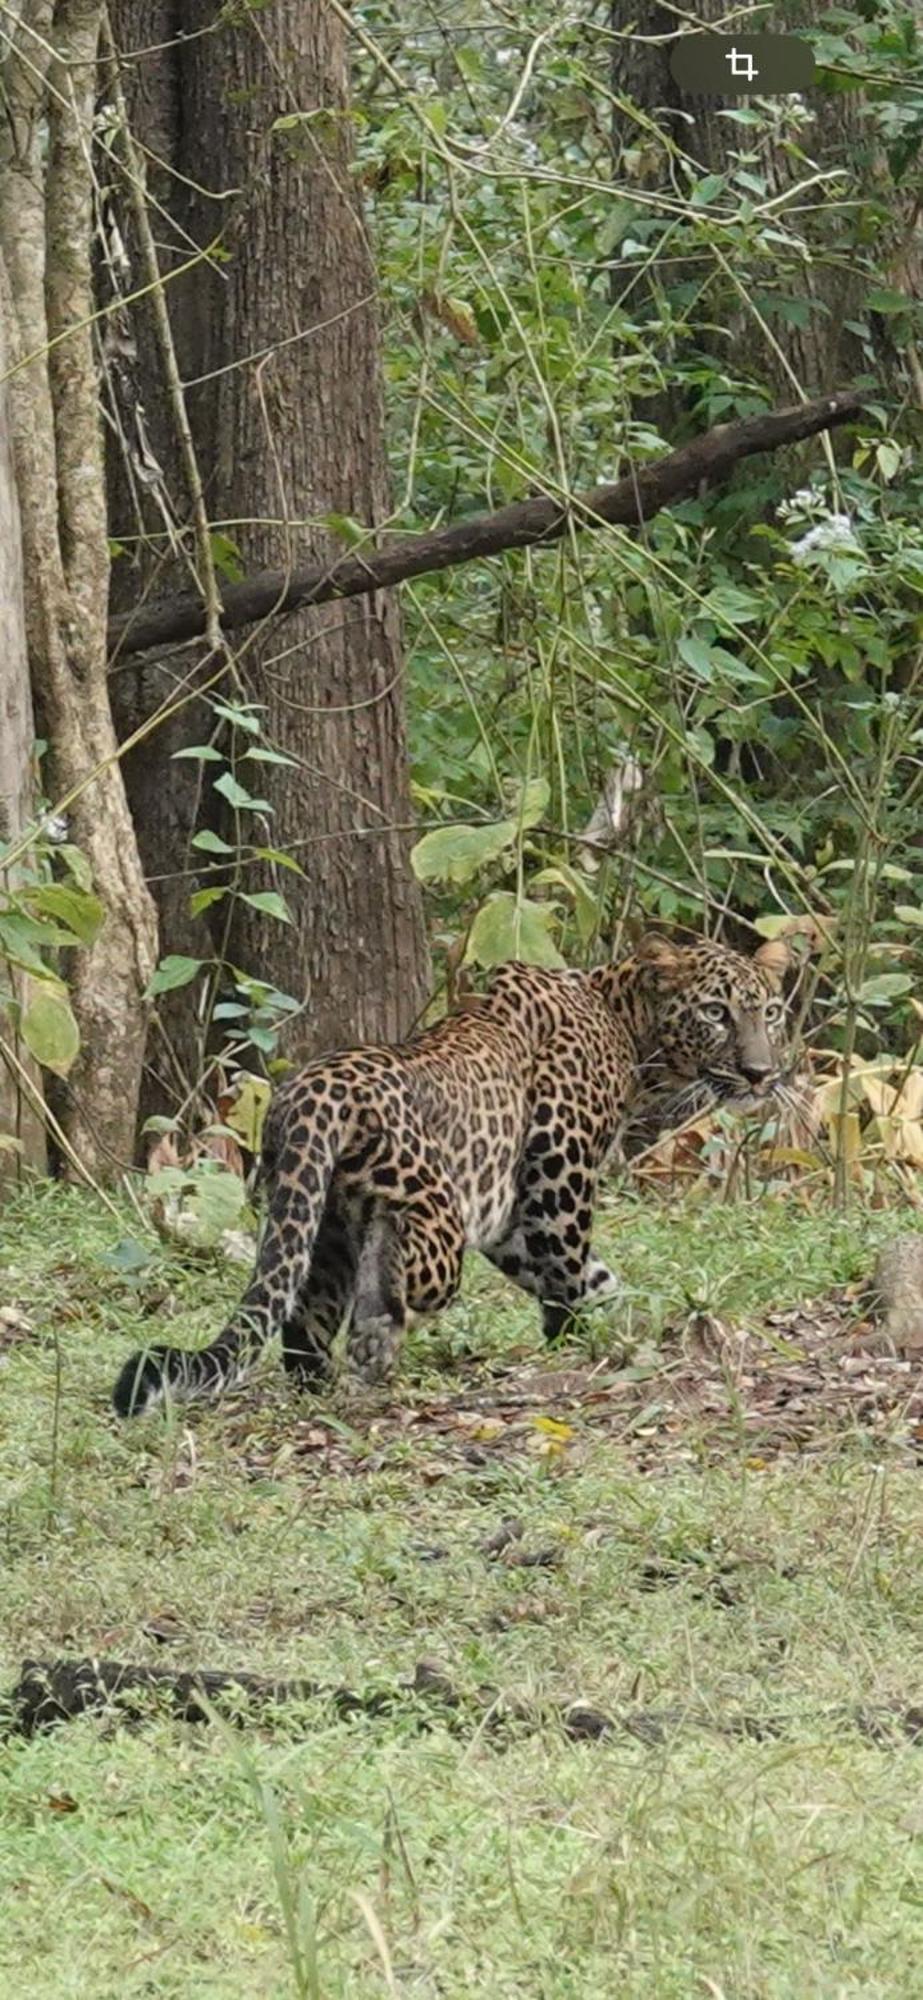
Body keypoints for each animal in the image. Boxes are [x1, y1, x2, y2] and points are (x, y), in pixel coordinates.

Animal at [113, 928, 795, 1416]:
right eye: (715, 1012)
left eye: (770, 1012)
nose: (761, 1073)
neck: (625, 1026)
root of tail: (314, 1089)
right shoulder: (557, 1181)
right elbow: (569, 1275)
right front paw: (583, 1347)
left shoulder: (511, 1217)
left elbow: (593, 1279)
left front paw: (629, 1326)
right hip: (434, 1215)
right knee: (402, 1280)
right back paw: (375, 1342)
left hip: (315, 1218)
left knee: (302, 1324)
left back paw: (330, 1380)